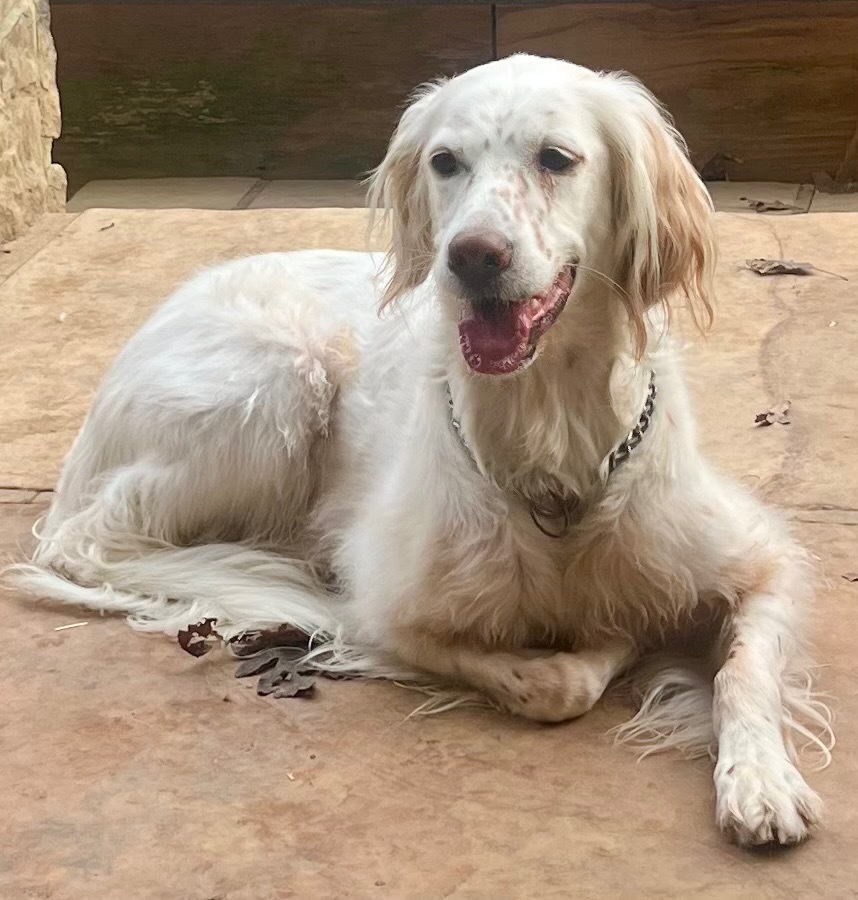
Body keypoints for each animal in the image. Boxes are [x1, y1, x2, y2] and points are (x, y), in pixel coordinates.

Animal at [11, 54, 828, 844]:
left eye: (556, 158)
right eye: (445, 161)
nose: (472, 256)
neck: (551, 443)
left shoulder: (760, 561)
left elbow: (744, 673)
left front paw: (761, 781)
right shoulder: (388, 609)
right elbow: (557, 681)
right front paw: (609, 641)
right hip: (278, 385)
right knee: (96, 539)